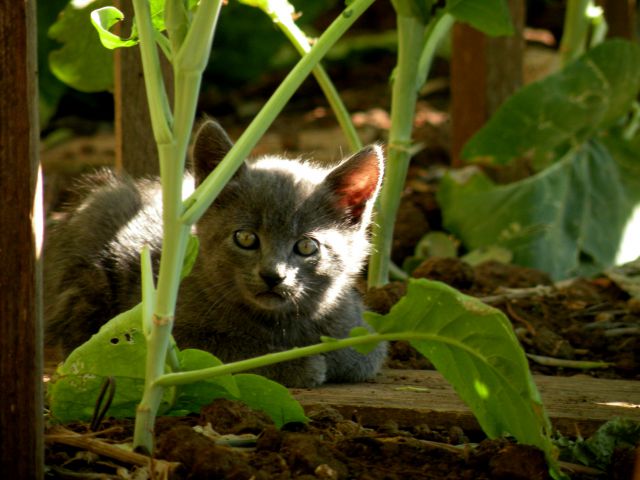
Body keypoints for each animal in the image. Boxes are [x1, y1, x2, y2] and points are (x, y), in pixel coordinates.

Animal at [46, 120, 384, 386]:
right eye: (245, 238)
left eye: (306, 246)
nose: (272, 275)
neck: (278, 322)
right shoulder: (164, 339)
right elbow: (232, 352)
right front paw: (299, 364)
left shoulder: (361, 328)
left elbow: (362, 354)